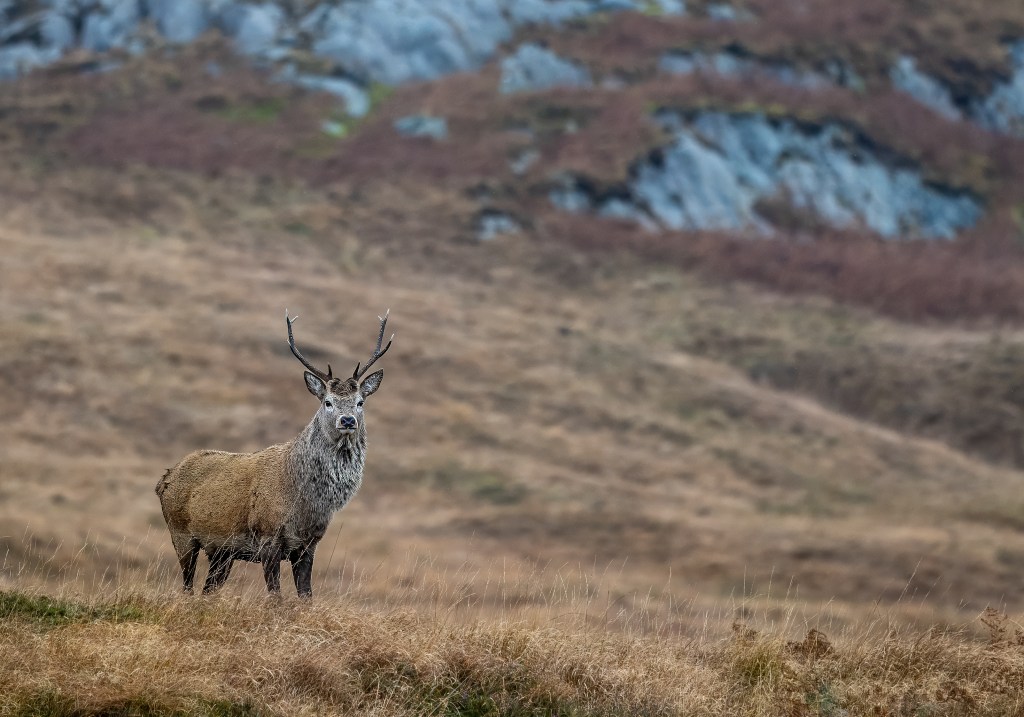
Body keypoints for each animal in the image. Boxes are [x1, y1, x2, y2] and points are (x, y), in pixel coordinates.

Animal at [155, 310, 392, 598]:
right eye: (328, 402)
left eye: (360, 402)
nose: (347, 420)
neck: (306, 502)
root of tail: (163, 479)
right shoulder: (268, 538)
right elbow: (275, 597)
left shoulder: (308, 545)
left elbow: (306, 596)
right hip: (180, 534)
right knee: (187, 587)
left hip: (222, 552)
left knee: (207, 590)